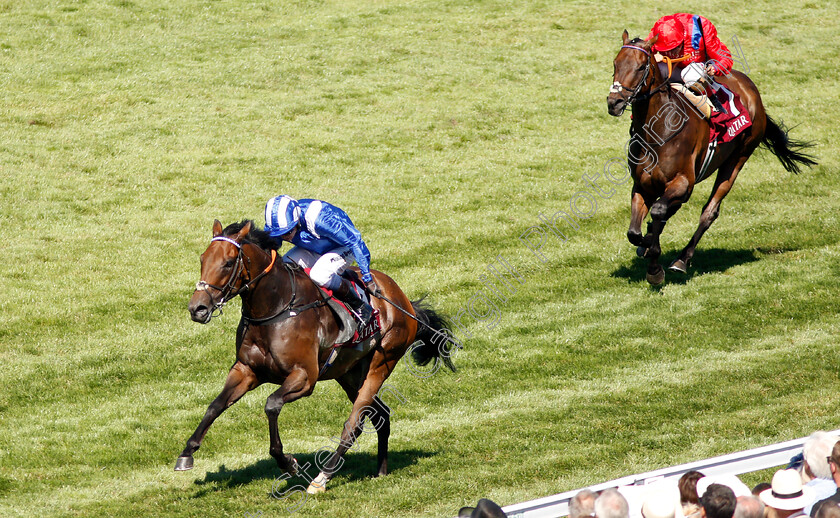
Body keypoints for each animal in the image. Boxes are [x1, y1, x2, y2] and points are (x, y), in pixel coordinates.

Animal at [174, 219, 456, 496]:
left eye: (228, 262)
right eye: (202, 259)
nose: (197, 308)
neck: (276, 309)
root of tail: (404, 301)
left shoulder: (304, 377)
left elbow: (271, 404)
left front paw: (287, 462)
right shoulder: (246, 370)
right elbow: (215, 406)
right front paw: (187, 454)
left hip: (382, 362)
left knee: (354, 424)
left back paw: (321, 479)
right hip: (349, 373)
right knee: (380, 415)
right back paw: (381, 471)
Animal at [608, 31, 816, 286]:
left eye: (639, 67)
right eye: (615, 64)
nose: (614, 102)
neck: (657, 132)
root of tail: (752, 90)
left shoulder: (683, 181)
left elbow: (658, 212)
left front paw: (655, 267)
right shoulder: (642, 185)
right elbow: (634, 233)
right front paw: (646, 242)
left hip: (737, 159)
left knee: (709, 212)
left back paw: (682, 259)